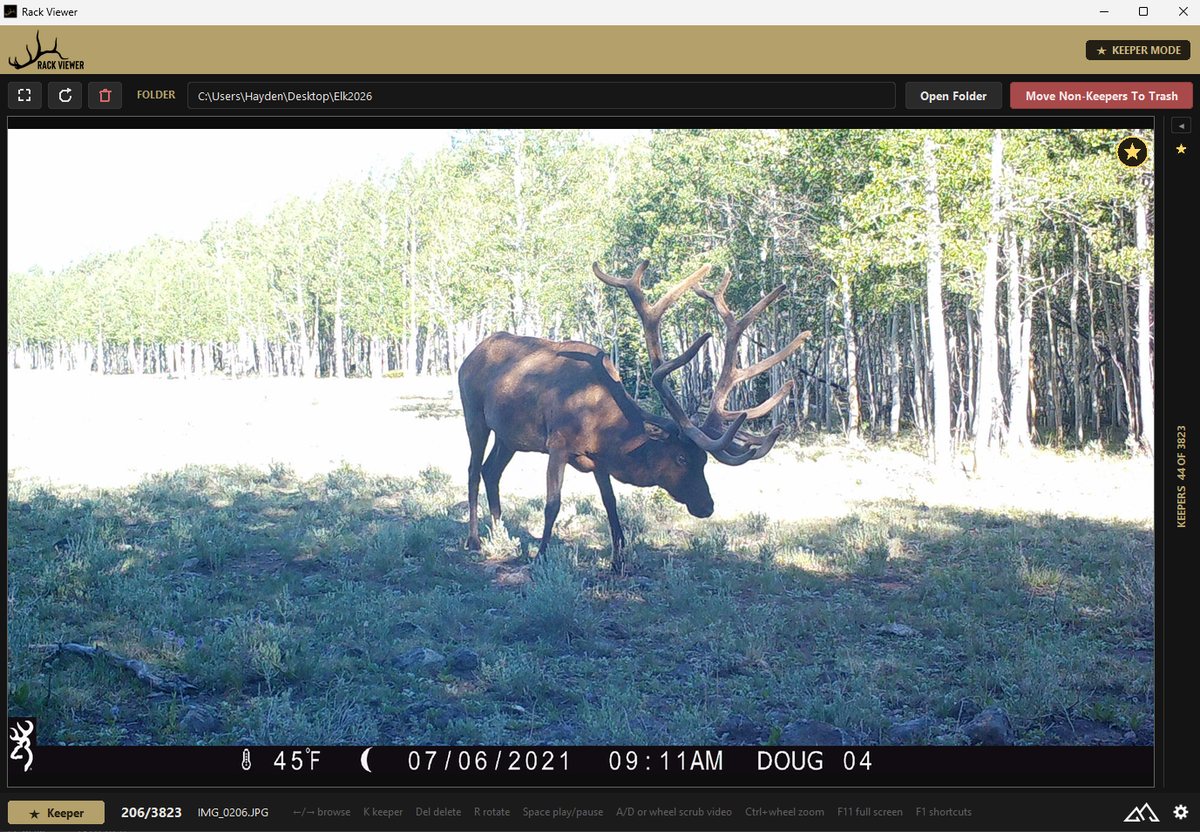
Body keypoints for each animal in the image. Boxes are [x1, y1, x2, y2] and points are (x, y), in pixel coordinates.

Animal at [457, 260, 811, 571]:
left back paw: (500, 533)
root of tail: (470, 354)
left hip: (510, 436)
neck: (603, 426)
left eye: (704, 461)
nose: (707, 506)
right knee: (474, 470)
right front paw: (541, 557)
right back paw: (474, 540)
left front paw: (619, 559)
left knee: (491, 471)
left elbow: (611, 504)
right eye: (682, 457)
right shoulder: (558, 443)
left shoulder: (597, 458)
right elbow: (552, 503)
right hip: (474, 414)